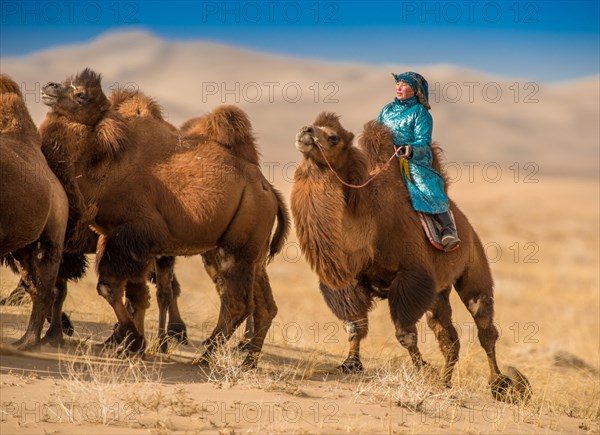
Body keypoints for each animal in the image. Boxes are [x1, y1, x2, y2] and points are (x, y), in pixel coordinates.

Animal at [41, 70, 290, 370]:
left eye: (81, 95)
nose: (49, 86)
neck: (104, 160)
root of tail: (269, 190)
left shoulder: (134, 234)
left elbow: (108, 288)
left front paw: (131, 341)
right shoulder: (116, 238)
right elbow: (134, 295)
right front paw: (129, 345)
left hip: (235, 251)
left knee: (239, 303)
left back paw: (205, 356)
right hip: (252, 254)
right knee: (263, 305)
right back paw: (246, 362)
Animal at [292, 112, 532, 402]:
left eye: (333, 137)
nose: (305, 130)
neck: (369, 225)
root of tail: (466, 225)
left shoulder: (411, 276)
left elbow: (404, 334)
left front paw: (423, 370)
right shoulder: (351, 280)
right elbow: (355, 326)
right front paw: (351, 364)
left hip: (474, 267)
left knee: (484, 326)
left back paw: (499, 385)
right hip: (439, 292)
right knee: (448, 337)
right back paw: (445, 382)